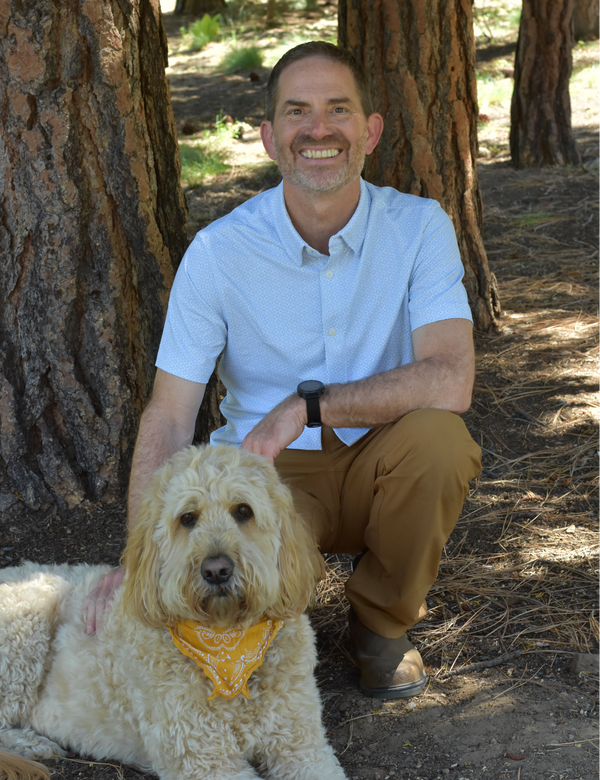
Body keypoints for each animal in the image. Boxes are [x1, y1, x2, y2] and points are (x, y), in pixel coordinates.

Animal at [0, 444, 347, 780]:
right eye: (188, 518)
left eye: (243, 511)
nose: (216, 570)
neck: (229, 646)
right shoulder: (205, 762)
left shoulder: (302, 747)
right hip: (26, 625)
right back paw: (32, 744)